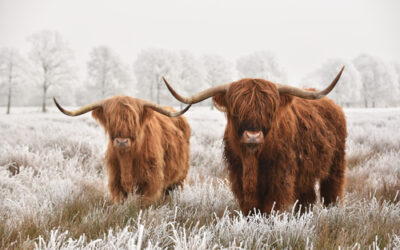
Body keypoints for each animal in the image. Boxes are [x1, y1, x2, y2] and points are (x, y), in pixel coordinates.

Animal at [54, 95, 191, 205]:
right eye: (111, 120)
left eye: (133, 120)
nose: (121, 142)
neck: (127, 159)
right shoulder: (116, 183)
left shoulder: (151, 184)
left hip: (180, 178)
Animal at [162, 67, 346, 214]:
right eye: (236, 110)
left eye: (270, 111)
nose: (252, 136)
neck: (252, 158)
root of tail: (333, 105)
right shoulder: (238, 177)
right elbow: (251, 208)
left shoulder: (280, 179)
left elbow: (271, 207)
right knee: (307, 198)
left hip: (335, 165)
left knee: (332, 192)